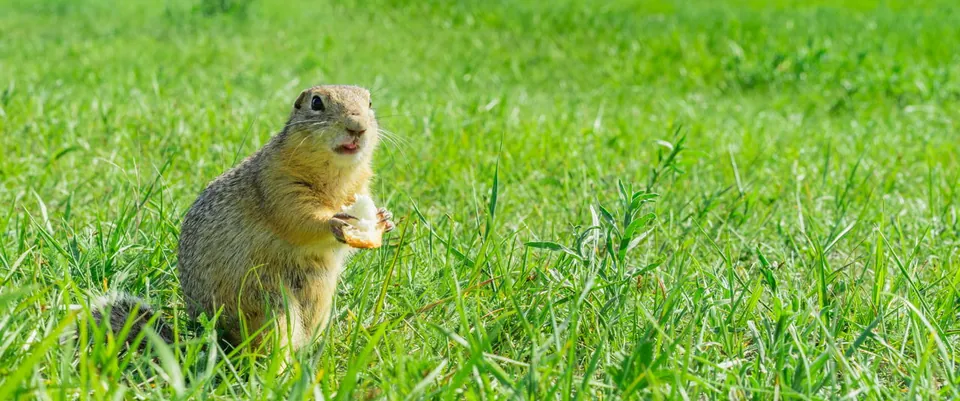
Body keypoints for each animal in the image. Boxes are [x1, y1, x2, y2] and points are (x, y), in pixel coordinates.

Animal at [89, 85, 394, 355]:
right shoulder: (278, 185)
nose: (357, 126)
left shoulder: (360, 186)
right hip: (268, 304)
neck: (337, 176)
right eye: (316, 102)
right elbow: (299, 219)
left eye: (369, 102)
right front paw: (335, 221)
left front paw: (384, 219)